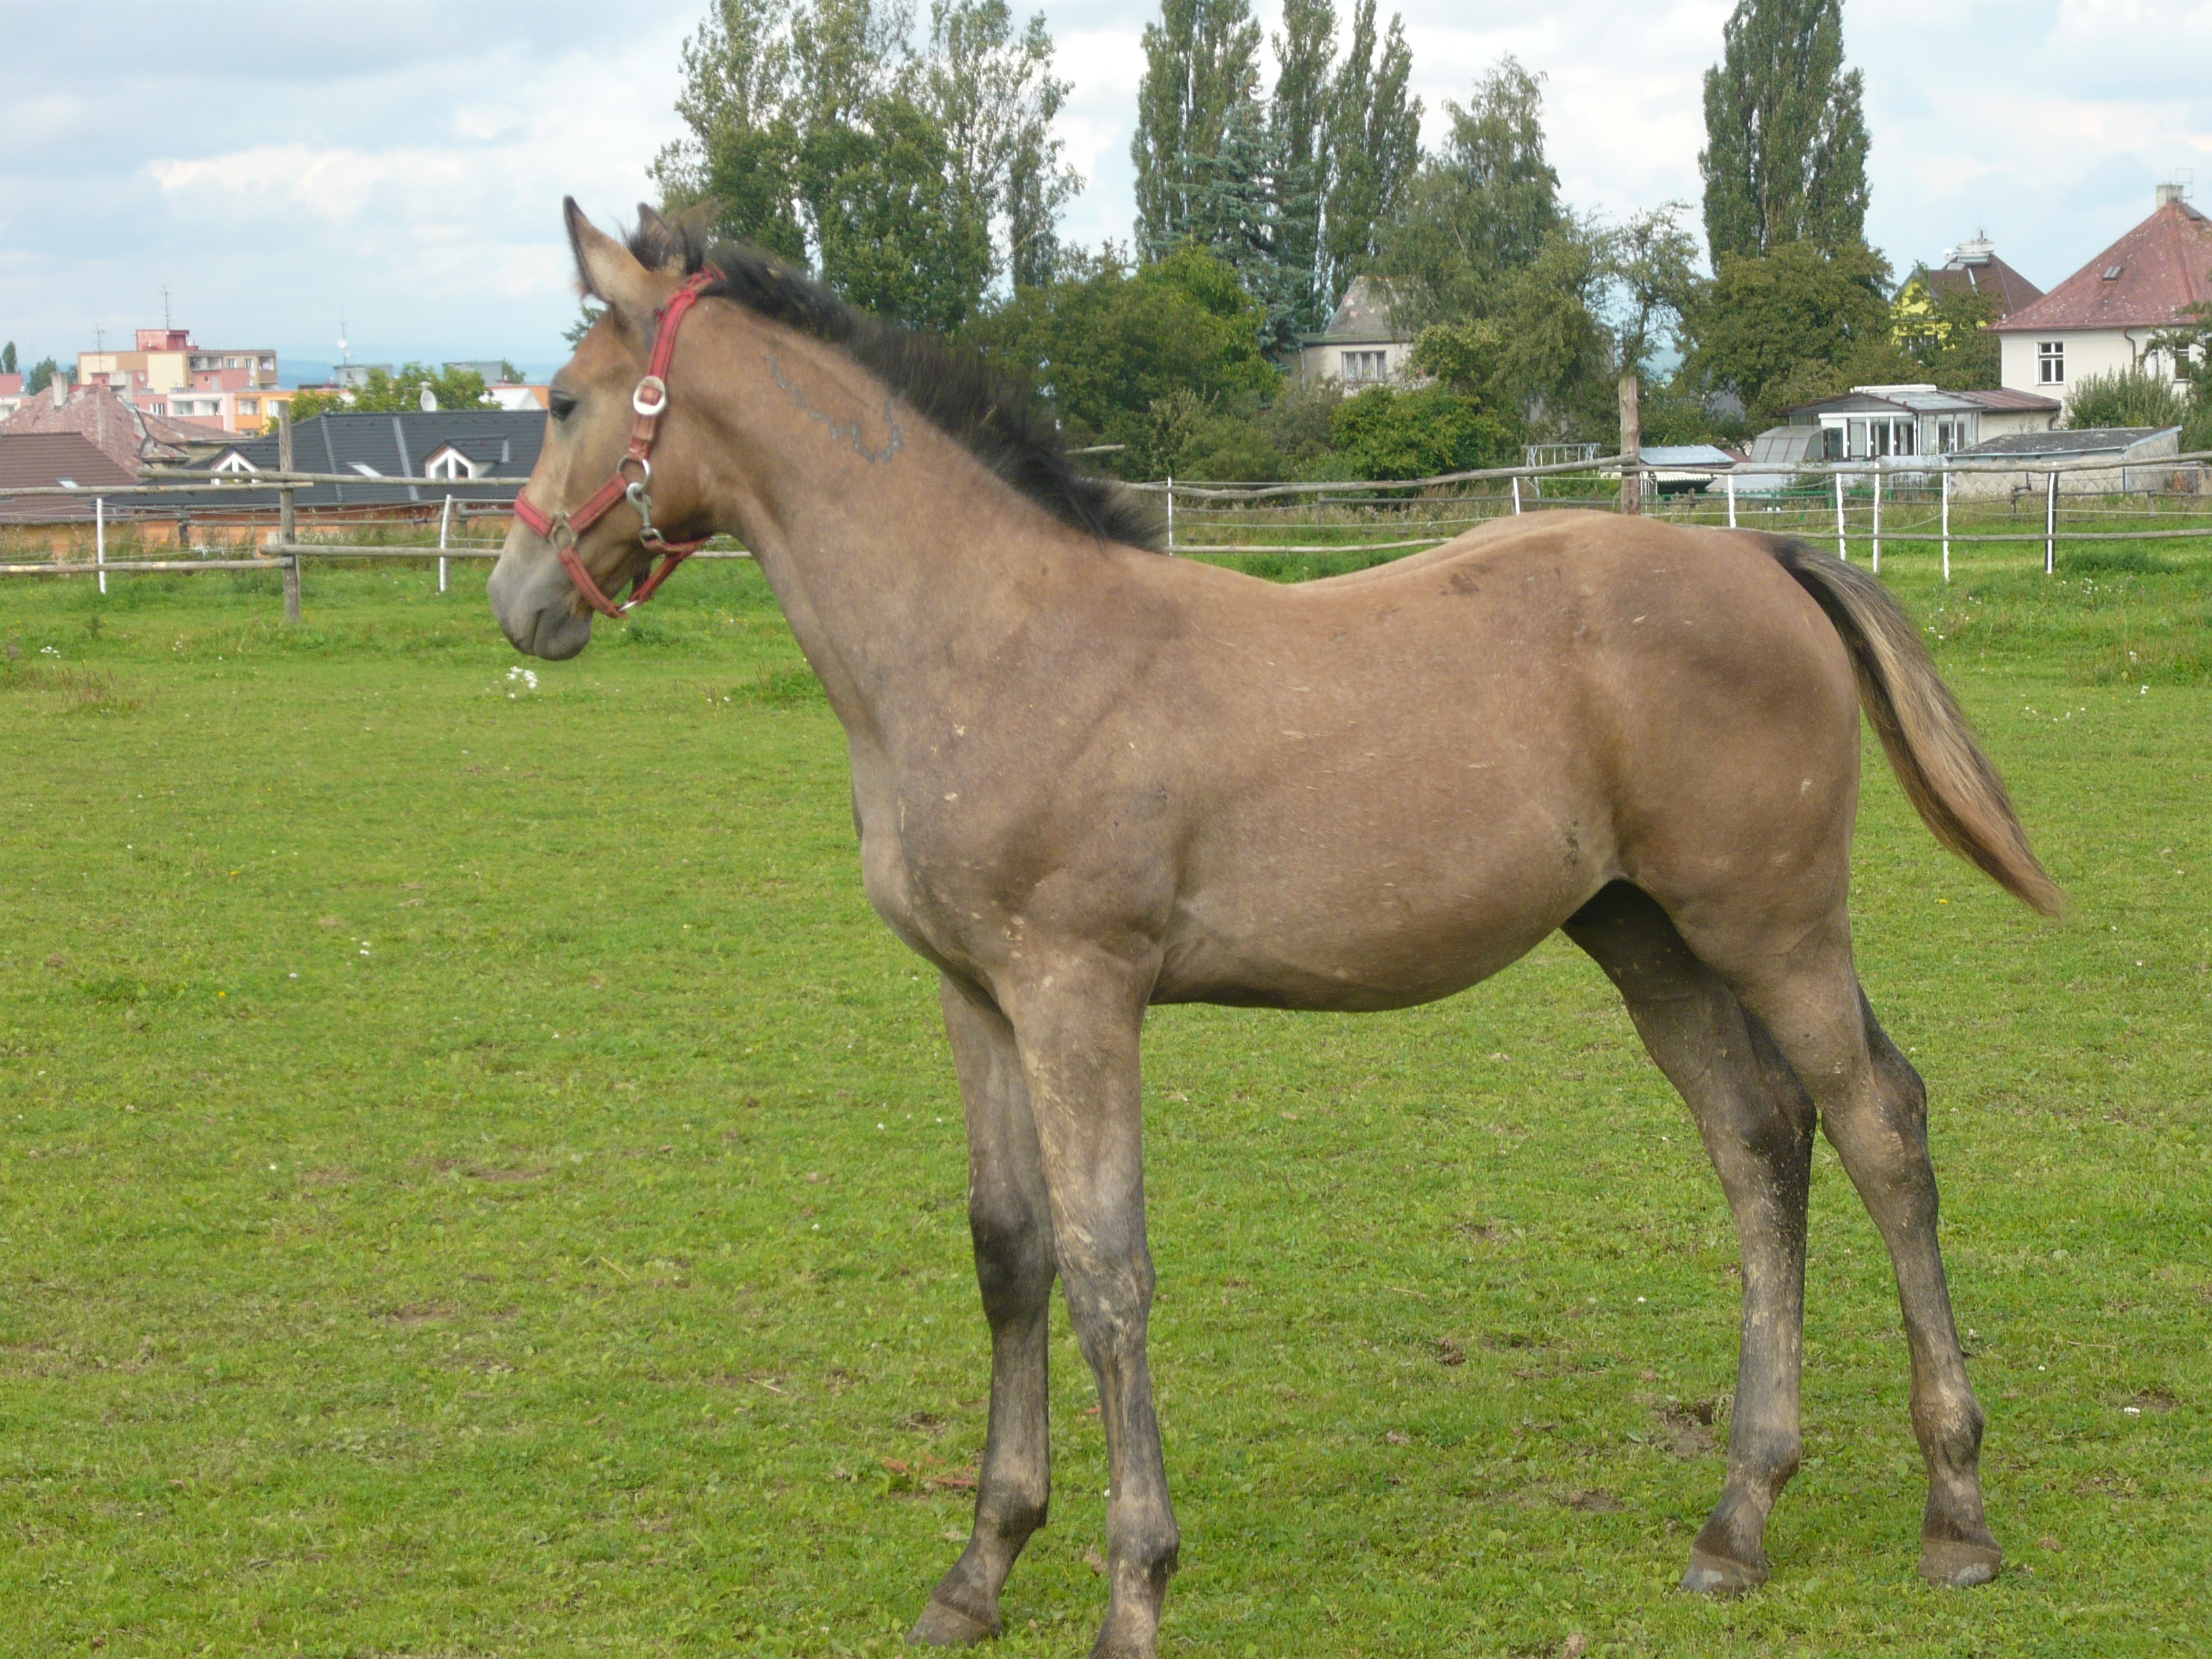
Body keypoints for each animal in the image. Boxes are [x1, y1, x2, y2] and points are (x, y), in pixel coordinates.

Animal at [493, 201, 2062, 1654]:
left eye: (565, 400)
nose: (518, 605)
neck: (989, 638)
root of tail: (1772, 558)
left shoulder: (1078, 991)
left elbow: (1107, 1268)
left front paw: (1133, 1588)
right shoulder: (976, 994)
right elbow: (1009, 1252)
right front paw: (978, 1569)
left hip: (1772, 922)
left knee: (1878, 1128)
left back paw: (1954, 1514)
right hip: (1648, 937)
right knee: (1758, 1142)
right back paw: (1737, 1518)